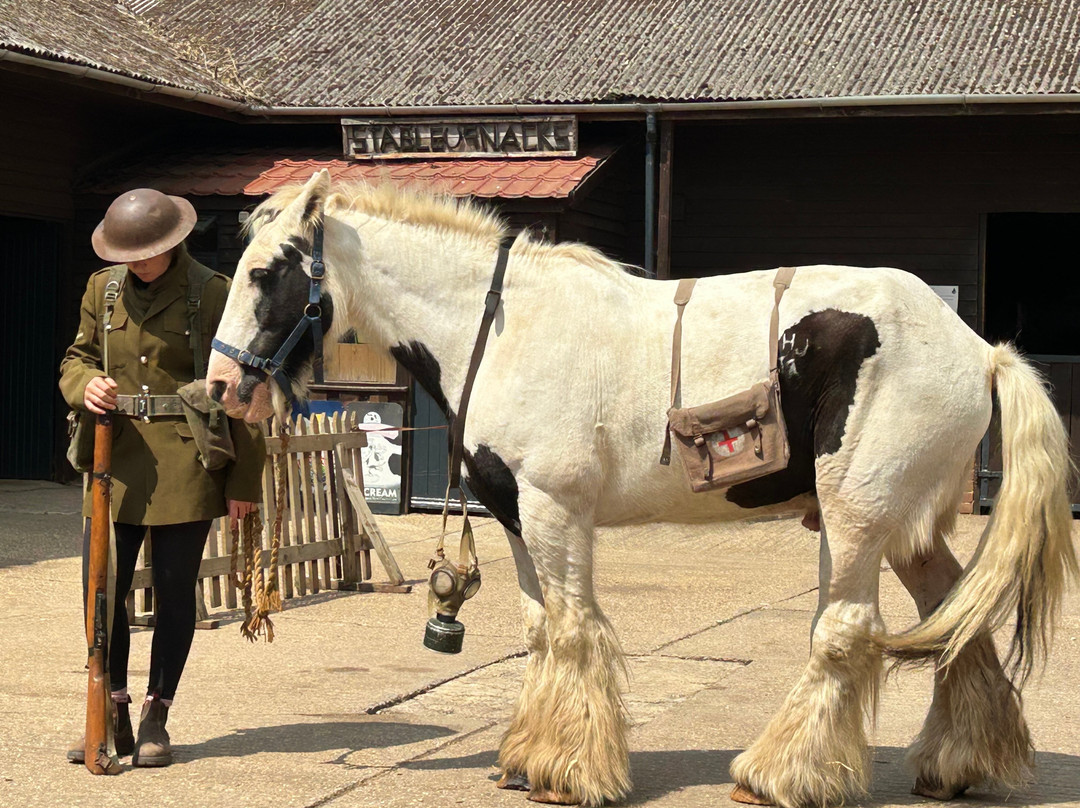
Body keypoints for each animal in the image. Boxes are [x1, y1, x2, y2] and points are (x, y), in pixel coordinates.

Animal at [206, 170, 1077, 808]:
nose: (220, 387)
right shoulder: (516, 517)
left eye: (264, 273)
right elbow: (539, 630)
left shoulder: (555, 512)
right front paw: (529, 755)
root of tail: (980, 349)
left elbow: (572, 631)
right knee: (957, 619)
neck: (502, 327)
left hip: (856, 518)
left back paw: (780, 774)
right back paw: (957, 765)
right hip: (909, 528)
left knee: (845, 631)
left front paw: (570, 770)